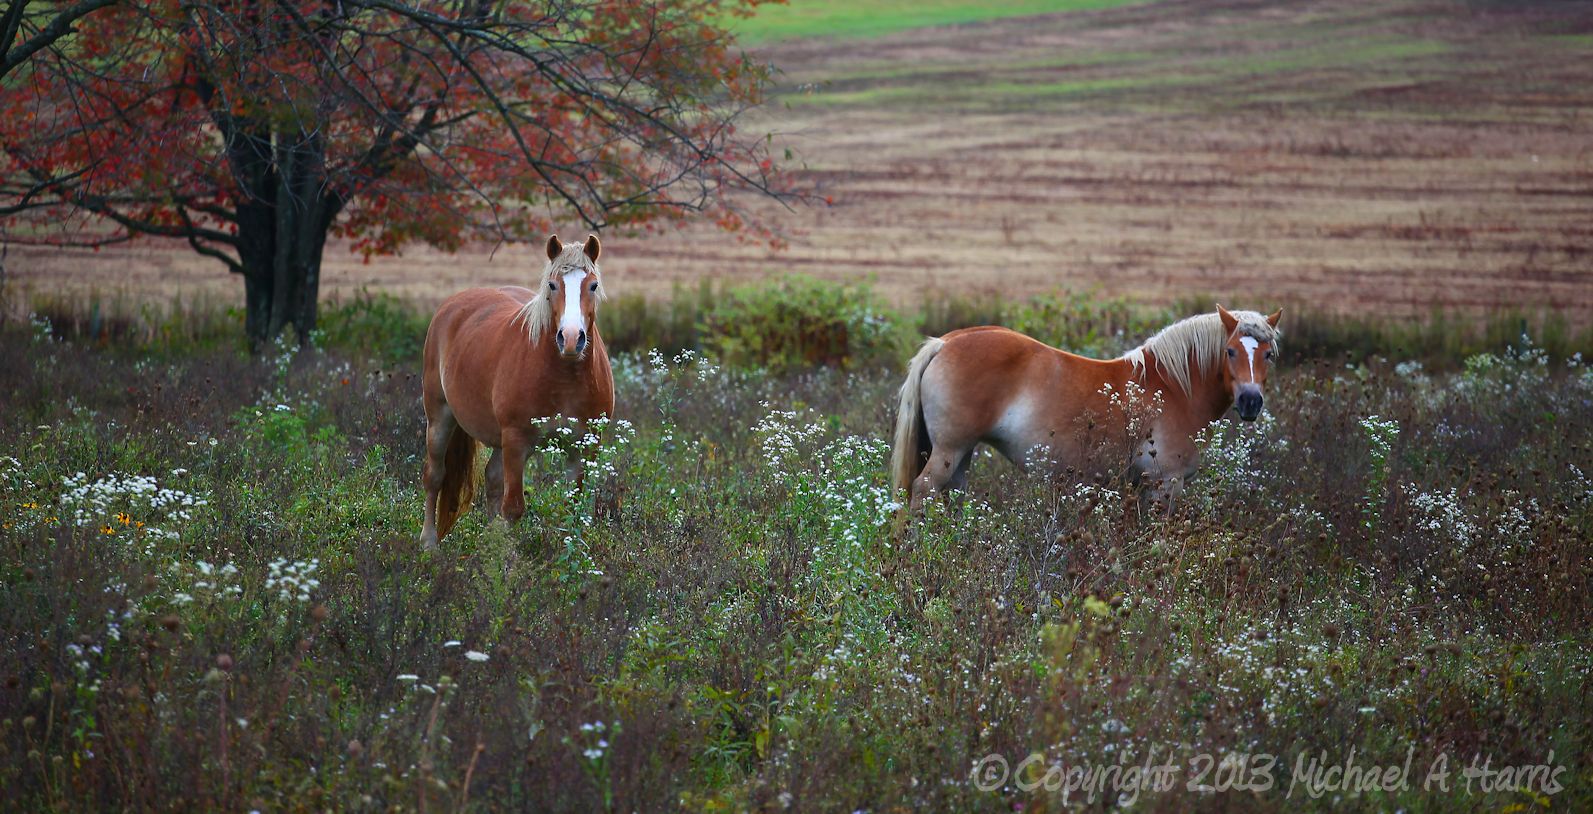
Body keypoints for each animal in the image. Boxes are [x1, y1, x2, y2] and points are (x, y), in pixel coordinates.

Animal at [417, 235, 614, 551]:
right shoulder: (516, 441)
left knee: (492, 479)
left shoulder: (584, 444)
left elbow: (572, 507)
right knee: (434, 476)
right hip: (440, 417)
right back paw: (429, 543)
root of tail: (452, 305)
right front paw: (505, 559)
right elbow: (513, 509)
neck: (565, 379)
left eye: (593, 285)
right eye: (552, 285)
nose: (571, 339)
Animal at [898, 305, 1280, 516]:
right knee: (923, 490)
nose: (1250, 401)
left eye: (1268, 354)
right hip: (949, 450)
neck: (1173, 387)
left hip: (962, 453)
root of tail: (946, 342)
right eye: (1230, 351)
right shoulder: (1165, 484)